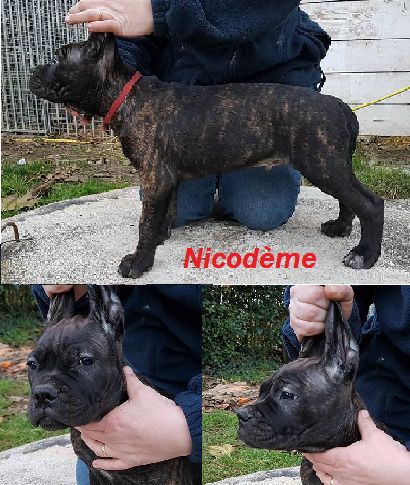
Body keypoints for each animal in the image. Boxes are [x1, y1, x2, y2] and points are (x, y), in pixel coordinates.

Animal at [29, 33, 384, 278]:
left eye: (60, 56)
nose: (31, 71)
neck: (126, 96)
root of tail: (342, 108)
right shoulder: (166, 180)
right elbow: (164, 213)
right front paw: (160, 238)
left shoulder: (155, 178)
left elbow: (145, 223)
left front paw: (140, 262)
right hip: (330, 166)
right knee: (349, 199)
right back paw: (340, 228)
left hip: (322, 164)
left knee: (370, 204)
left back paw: (365, 255)